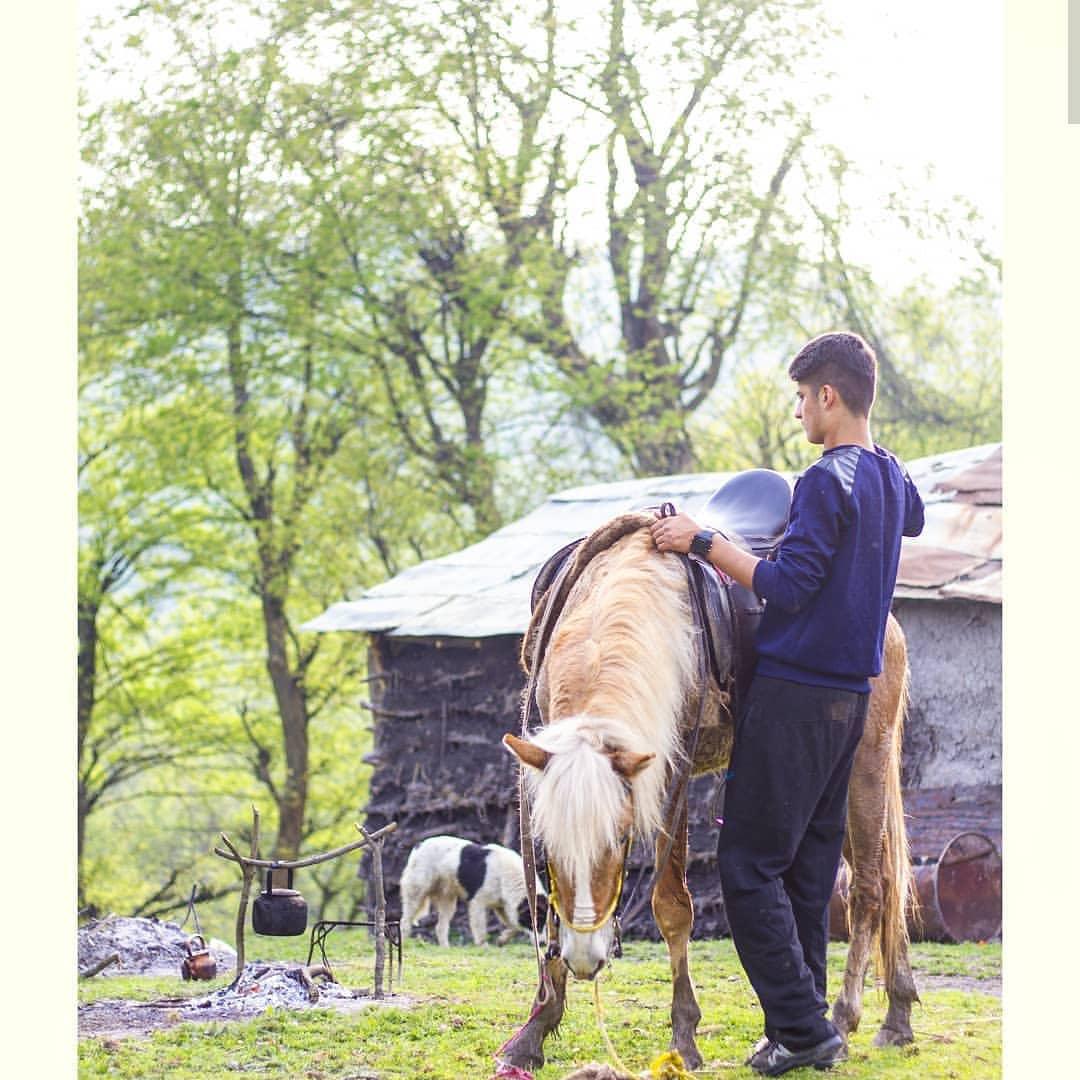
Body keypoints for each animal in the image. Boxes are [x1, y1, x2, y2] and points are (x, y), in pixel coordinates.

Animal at [399, 833, 548, 946]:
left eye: (545, 922)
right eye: (536, 921)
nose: (543, 944)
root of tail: (419, 845)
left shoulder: (502, 906)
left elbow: (514, 927)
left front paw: (502, 940)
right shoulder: (478, 903)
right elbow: (481, 930)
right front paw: (484, 947)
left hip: (448, 901)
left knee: (440, 927)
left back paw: (446, 949)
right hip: (416, 893)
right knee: (405, 921)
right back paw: (404, 944)